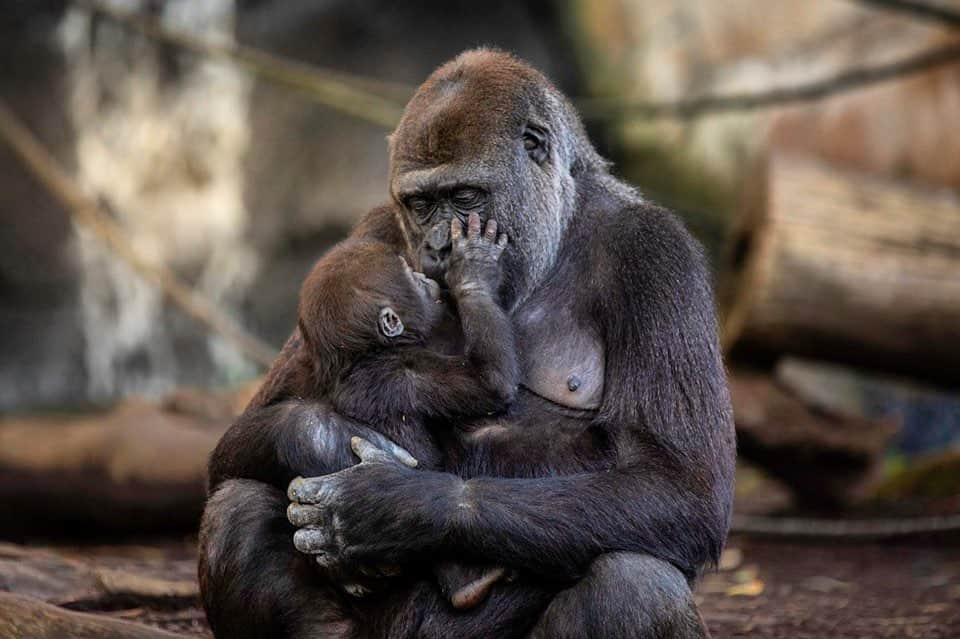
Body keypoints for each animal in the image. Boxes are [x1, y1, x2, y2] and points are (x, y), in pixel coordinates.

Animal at [294, 214, 512, 608]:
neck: (359, 357)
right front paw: (474, 272)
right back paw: (468, 583)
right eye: (411, 278)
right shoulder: (408, 370)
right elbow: (491, 382)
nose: (426, 279)